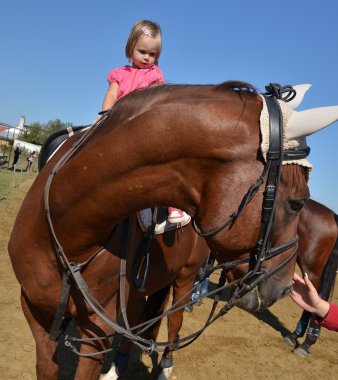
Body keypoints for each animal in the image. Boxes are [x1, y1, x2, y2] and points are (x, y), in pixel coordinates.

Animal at [9, 81, 324, 378]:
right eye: (298, 203)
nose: (285, 287)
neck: (69, 228)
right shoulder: (35, 312)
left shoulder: (95, 331)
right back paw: (118, 366)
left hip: (184, 279)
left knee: (173, 322)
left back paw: (164, 366)